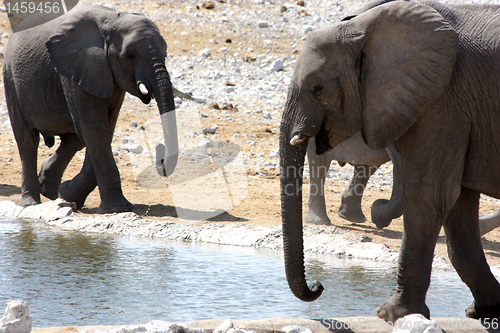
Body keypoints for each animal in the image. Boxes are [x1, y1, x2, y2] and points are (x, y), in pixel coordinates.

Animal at [3, 3, 180, 211]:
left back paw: (50, 191)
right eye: (130, 56)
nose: (160, 153)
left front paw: (68, 194)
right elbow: (95, 128)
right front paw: (117, 208)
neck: (111, 21)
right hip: (11, 77)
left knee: (74, 138)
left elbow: (104, 129)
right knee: (27, 140)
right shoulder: (78, 66)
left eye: (166, 54)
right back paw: (31, 203)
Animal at [282, 0, 500, 322]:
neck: (363, 27)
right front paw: (480, 311)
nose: (318, 286)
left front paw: (390, 315)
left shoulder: (442, 98)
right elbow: (453, 200)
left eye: (317, 88)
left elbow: (431, 194)